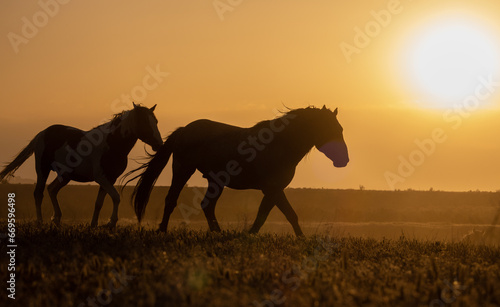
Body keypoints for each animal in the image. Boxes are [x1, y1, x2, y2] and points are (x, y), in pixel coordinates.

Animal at [0, 104, 163, 227]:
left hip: (65, 176)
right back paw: (40, 222)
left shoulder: (110, 179)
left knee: (52, 189)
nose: (159, 145)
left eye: (156, 121)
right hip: (42, 170)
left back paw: (57, 219)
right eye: (144, 122)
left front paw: (94, 224)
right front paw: (111, 223)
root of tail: (42, 133)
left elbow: (99, 202)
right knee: (38, 193)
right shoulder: (101, 177)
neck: (111, 144)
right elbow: (116, 197)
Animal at [129, 104, 348, 237]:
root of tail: (184, 130)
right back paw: (163, 230)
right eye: (331, 130)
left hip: (215, 181)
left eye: (340, 129)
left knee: (207, 205)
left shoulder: (274, 190)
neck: (279, 145)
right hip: (183, 170)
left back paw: (217, 232)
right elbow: (277, 215)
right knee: (172, 199)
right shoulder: (272, 189)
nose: (344, 160)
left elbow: (276, 215)